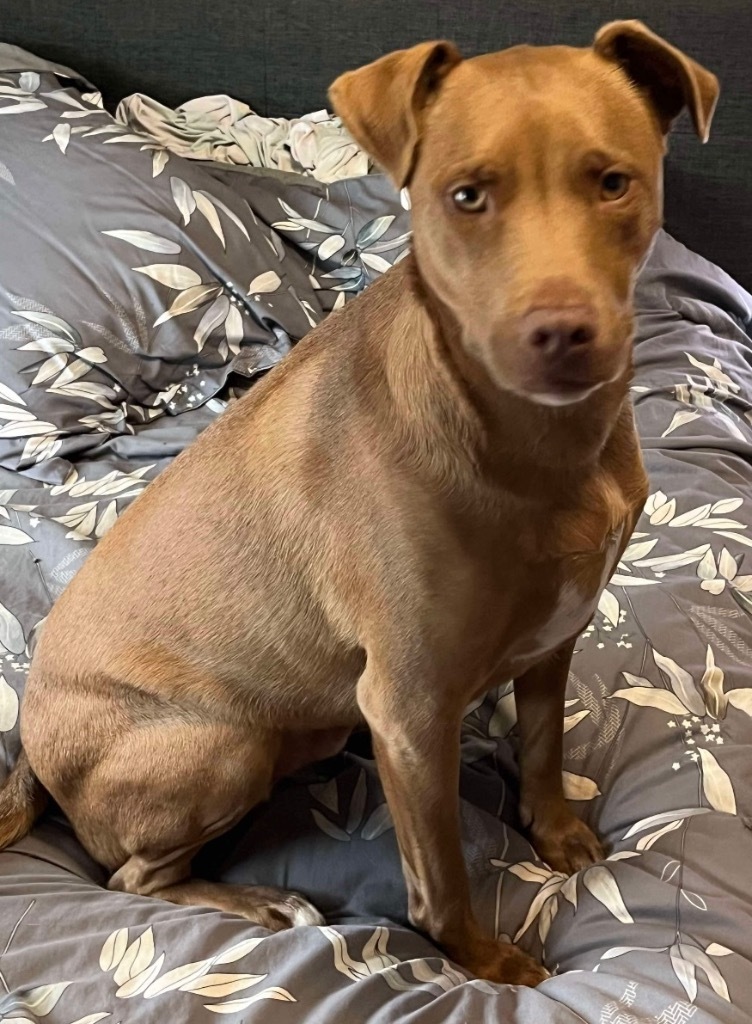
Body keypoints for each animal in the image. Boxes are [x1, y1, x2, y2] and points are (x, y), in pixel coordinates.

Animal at [0, 22, 717, 983]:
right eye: (465, 196)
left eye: (613, 182)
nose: (564, 334)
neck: (535, 444)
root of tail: (34, 753)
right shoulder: (408, 709)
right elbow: (441, 878)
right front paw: (491, 966)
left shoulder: (554, 639)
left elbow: (541, 749)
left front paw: (557, 831)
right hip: (221, 743)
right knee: (130, 877)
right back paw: (263, 902)